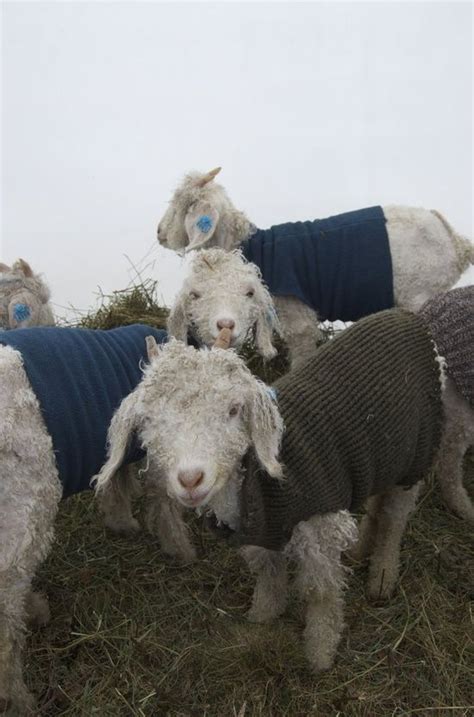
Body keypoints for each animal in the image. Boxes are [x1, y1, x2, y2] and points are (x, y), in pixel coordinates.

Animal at [0, 326, 194, 716]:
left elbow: (116, 479)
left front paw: (120, 519)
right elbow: (160, 499)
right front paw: (180, 548)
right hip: (23, 509)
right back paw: (19, 697)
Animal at [94, 286, 472, 672]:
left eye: (234, 410)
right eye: (149, 419)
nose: (190, 478)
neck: (255, 481)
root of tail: (412, 320)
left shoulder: (319, 531)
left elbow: (322, 595)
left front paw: (320, 653)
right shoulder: (261, 534)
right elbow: (269, 575)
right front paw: (261, 618)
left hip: (418, 453)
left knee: (395, 518)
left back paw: (382, 574)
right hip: (388, 455)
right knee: (378, 502)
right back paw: (361, 548)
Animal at [157, 166, 472, 364]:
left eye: (183, 206)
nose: (159, 233)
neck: (254, 245)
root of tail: (457, 242)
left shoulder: (298, 316)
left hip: (421, 292)